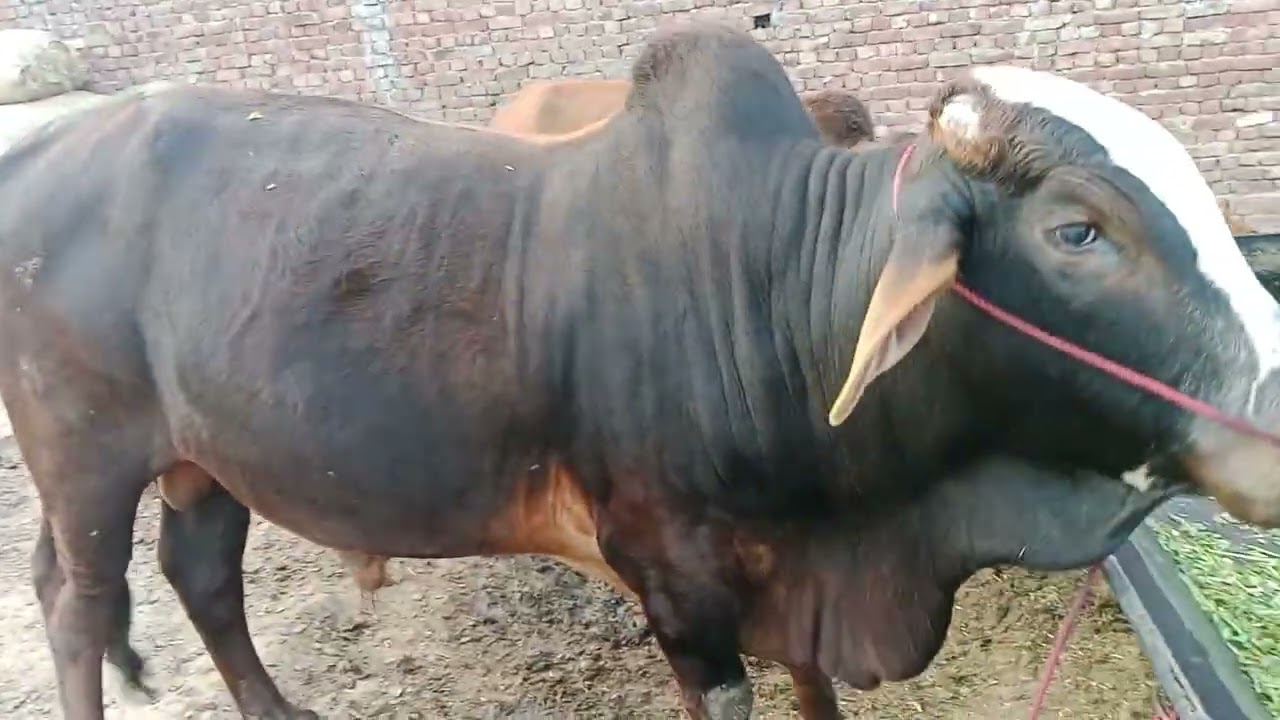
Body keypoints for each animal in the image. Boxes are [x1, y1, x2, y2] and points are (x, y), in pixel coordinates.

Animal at [3, 21, 1280, 720]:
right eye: (1077, 232)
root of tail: (52, 141)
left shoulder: (792, 581)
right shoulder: (675, 585)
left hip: (206, 458)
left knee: (200, 575)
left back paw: (275, 706)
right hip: (82, 459)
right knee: (77, 601)